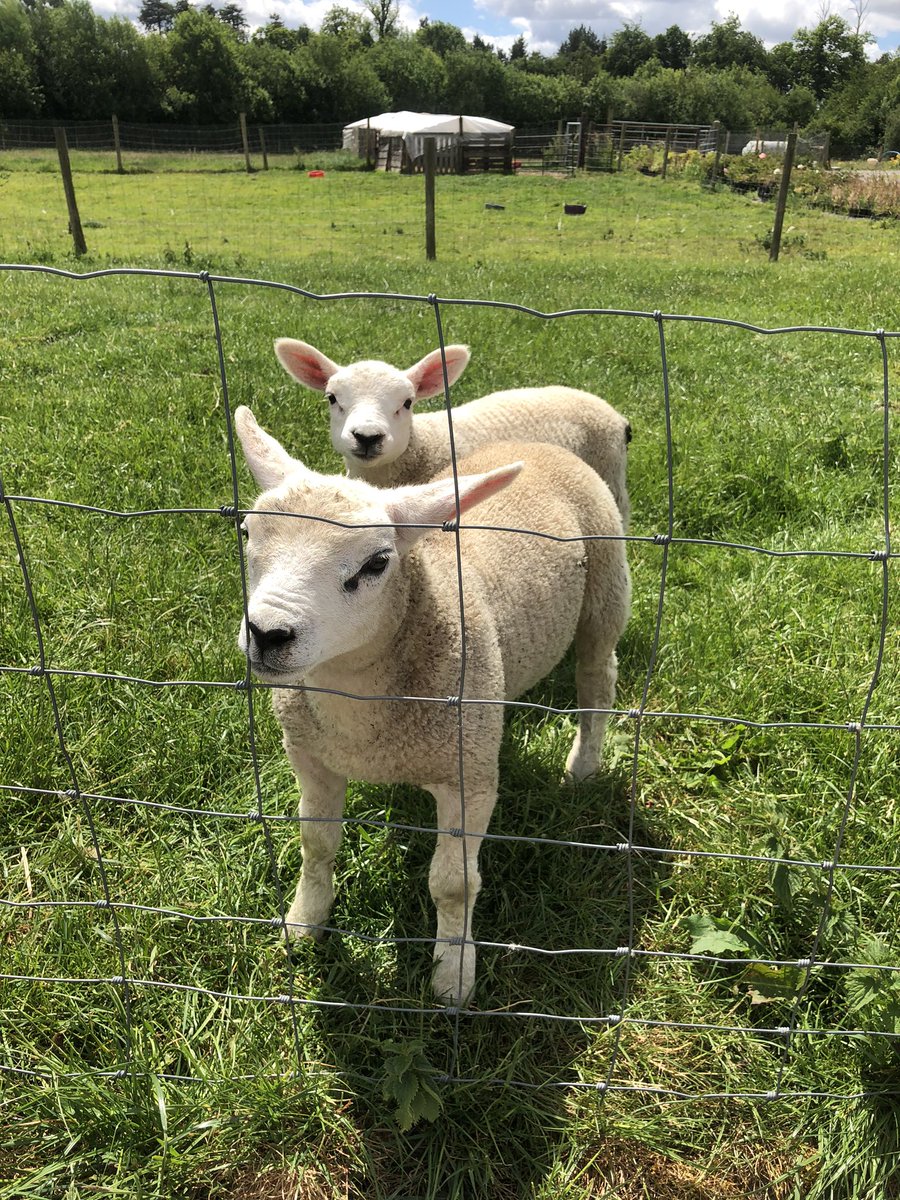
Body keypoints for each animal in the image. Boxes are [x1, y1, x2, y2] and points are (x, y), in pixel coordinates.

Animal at [234, 404, 631, 1005]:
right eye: (246, 532)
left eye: (377, 563)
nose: (267, 634)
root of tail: (540, 446)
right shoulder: (312, 758)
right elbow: (316, 843)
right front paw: (305, 923)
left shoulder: (468, 776)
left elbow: (453, 884)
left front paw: (452, 976)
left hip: (606, 591)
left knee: (595, 681)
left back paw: (583, 766)